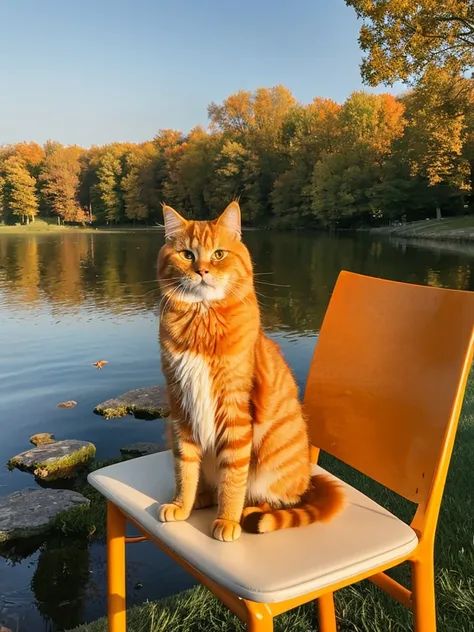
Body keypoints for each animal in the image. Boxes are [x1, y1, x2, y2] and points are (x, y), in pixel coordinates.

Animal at [157, 202, 346, 544]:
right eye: (187, 255)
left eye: (218, 254)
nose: (202, 271)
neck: (202, 319)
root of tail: (308, 479)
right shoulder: (180, 408)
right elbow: (185, 468)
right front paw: (182, 504)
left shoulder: (234, 412)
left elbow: (233, 477)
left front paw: (227, 519)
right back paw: (203, 497)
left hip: (274, 458)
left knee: (280, 501)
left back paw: (249, 513)